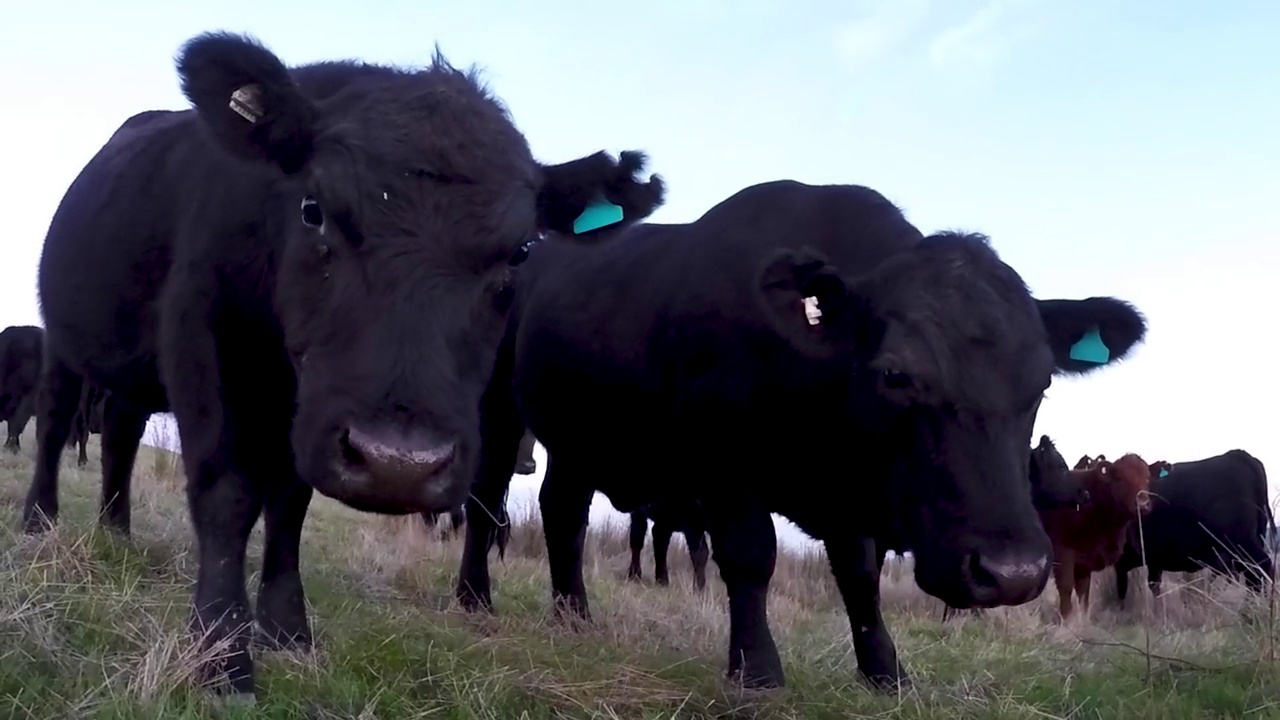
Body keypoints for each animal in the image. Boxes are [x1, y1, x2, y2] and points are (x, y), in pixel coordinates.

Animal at [22, 30, 670, 696]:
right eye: (314, 209)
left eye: (519, 253)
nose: (399, 464)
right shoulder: (208, 340)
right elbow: (228, 493)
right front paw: (222, 654)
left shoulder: (306, 412)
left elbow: (289, 503)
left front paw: (286, 629)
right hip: (61, 338)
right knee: (55, 422)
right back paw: (40, 520)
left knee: (120, 436)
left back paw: (116, 530)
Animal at [453, 179, 1152, 691]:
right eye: (895, 373)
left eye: (1041, 383)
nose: (1010, 573)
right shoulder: (722, 455)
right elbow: (750, 555)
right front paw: (757, 671)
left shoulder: (850, 494)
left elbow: (860, 576)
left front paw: (886, 672)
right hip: (498, 406)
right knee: (488, 498)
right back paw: (473, 598)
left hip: (580, 432)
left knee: (561, 511)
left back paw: (572, 614)